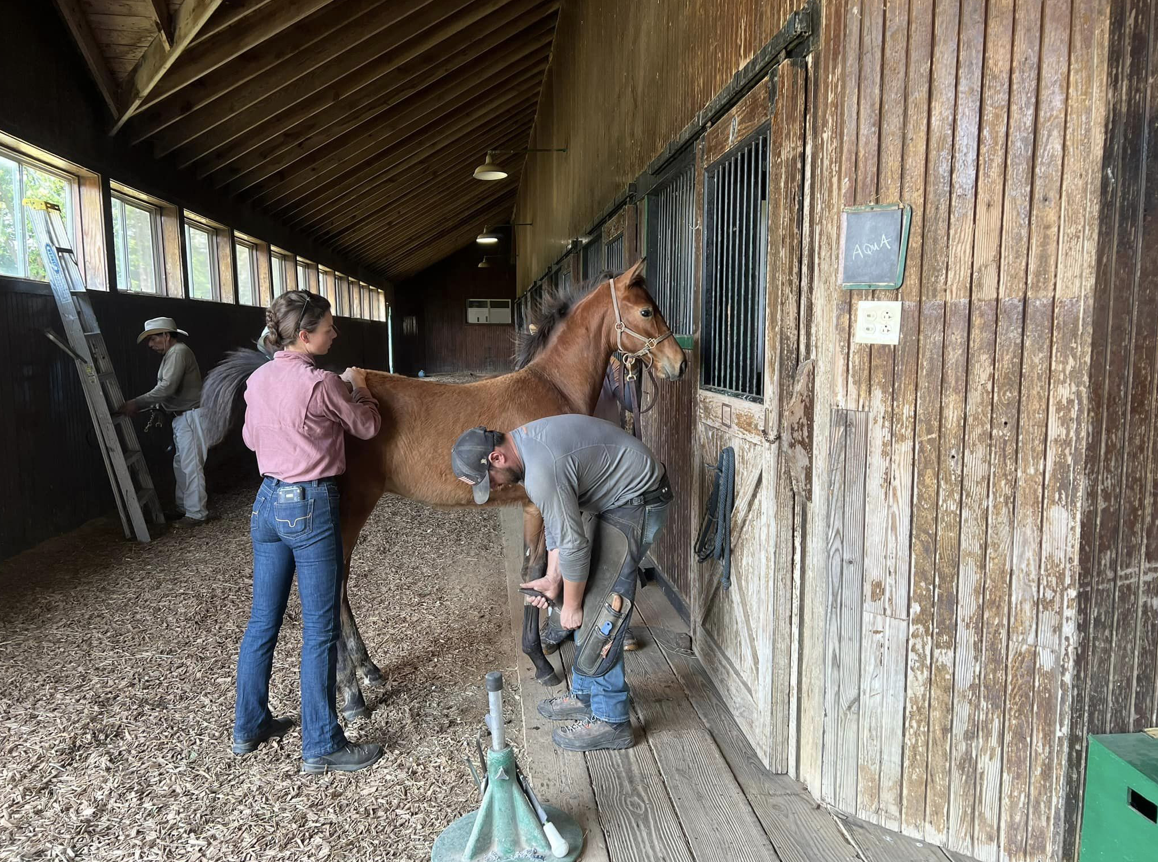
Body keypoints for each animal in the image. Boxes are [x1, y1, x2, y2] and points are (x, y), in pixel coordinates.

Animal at [199, 260, 685, 718]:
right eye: (646, 311)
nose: (678, 363)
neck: (551, 388)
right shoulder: (539, 505)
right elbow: (537, 569)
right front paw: (541, 662)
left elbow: (534, 571)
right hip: (350, 510)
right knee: (332, 589)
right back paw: (352, 694)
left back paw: (369, 669)